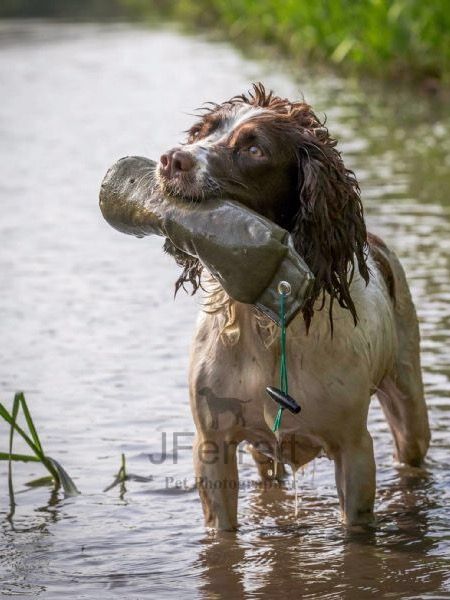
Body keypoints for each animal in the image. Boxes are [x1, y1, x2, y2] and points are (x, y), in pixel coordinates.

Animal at [156, 84, 430, 528]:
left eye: (254, 150)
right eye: (205, 131)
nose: (171, 158)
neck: (265, 318)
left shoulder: (354, 448)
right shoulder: (212, 444)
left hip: (410, 404)